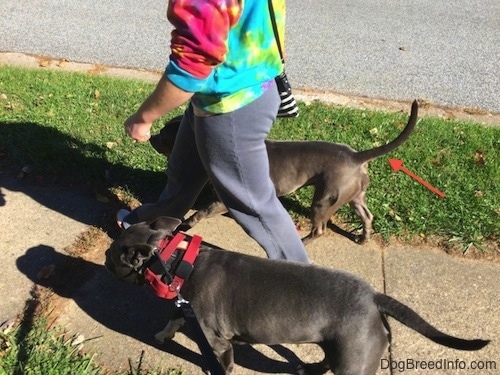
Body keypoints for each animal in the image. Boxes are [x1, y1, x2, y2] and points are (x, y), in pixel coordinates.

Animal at [104, 217, 488, 375]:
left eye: (110, 255)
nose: (105, 260)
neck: (177, 259)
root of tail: (374, 297)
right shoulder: (184, 305)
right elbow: (173, 317)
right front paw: (161, 333)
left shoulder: (217, 338)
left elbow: (222, 362)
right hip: (340, 345)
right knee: (326, 361)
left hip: (354, 359)